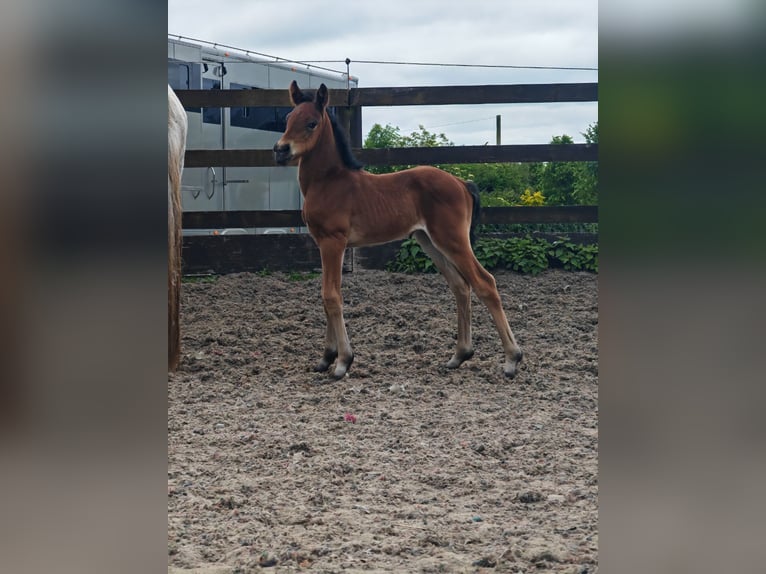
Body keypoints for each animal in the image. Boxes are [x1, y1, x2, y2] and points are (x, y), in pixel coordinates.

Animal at [272, 80, 524, 378]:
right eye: (288, 119)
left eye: (311, 123)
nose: (280, 150)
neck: (330, 181)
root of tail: (462, 183)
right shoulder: (323, 243)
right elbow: (326, 295)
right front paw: (326, 357)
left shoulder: (333, 242)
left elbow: (331, 296)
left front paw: (343, 361)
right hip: (429, 241)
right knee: (460, 286)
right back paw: (459, 355)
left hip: (452, 240)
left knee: (485, 283)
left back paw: (512, 359)